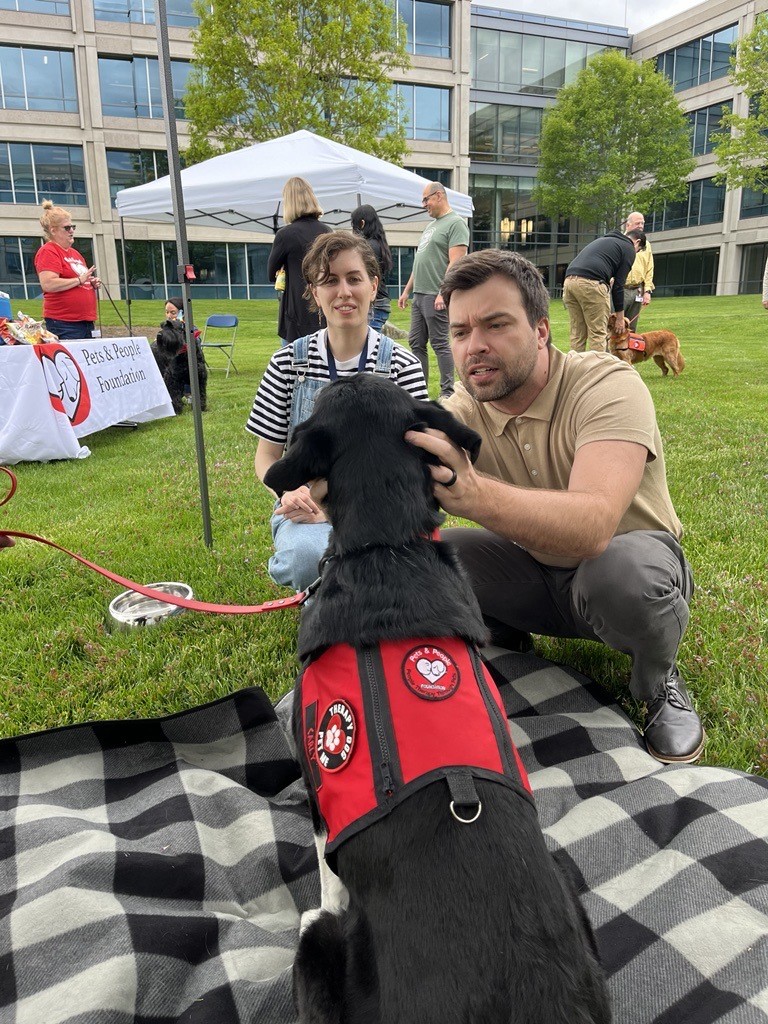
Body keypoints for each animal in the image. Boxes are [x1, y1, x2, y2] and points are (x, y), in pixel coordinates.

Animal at [264, 376, 614, 1024]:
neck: (389, 546)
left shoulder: (318, 783)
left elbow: (327, 866)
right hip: (564, 871)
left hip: (322, 949)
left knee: (316, 925)